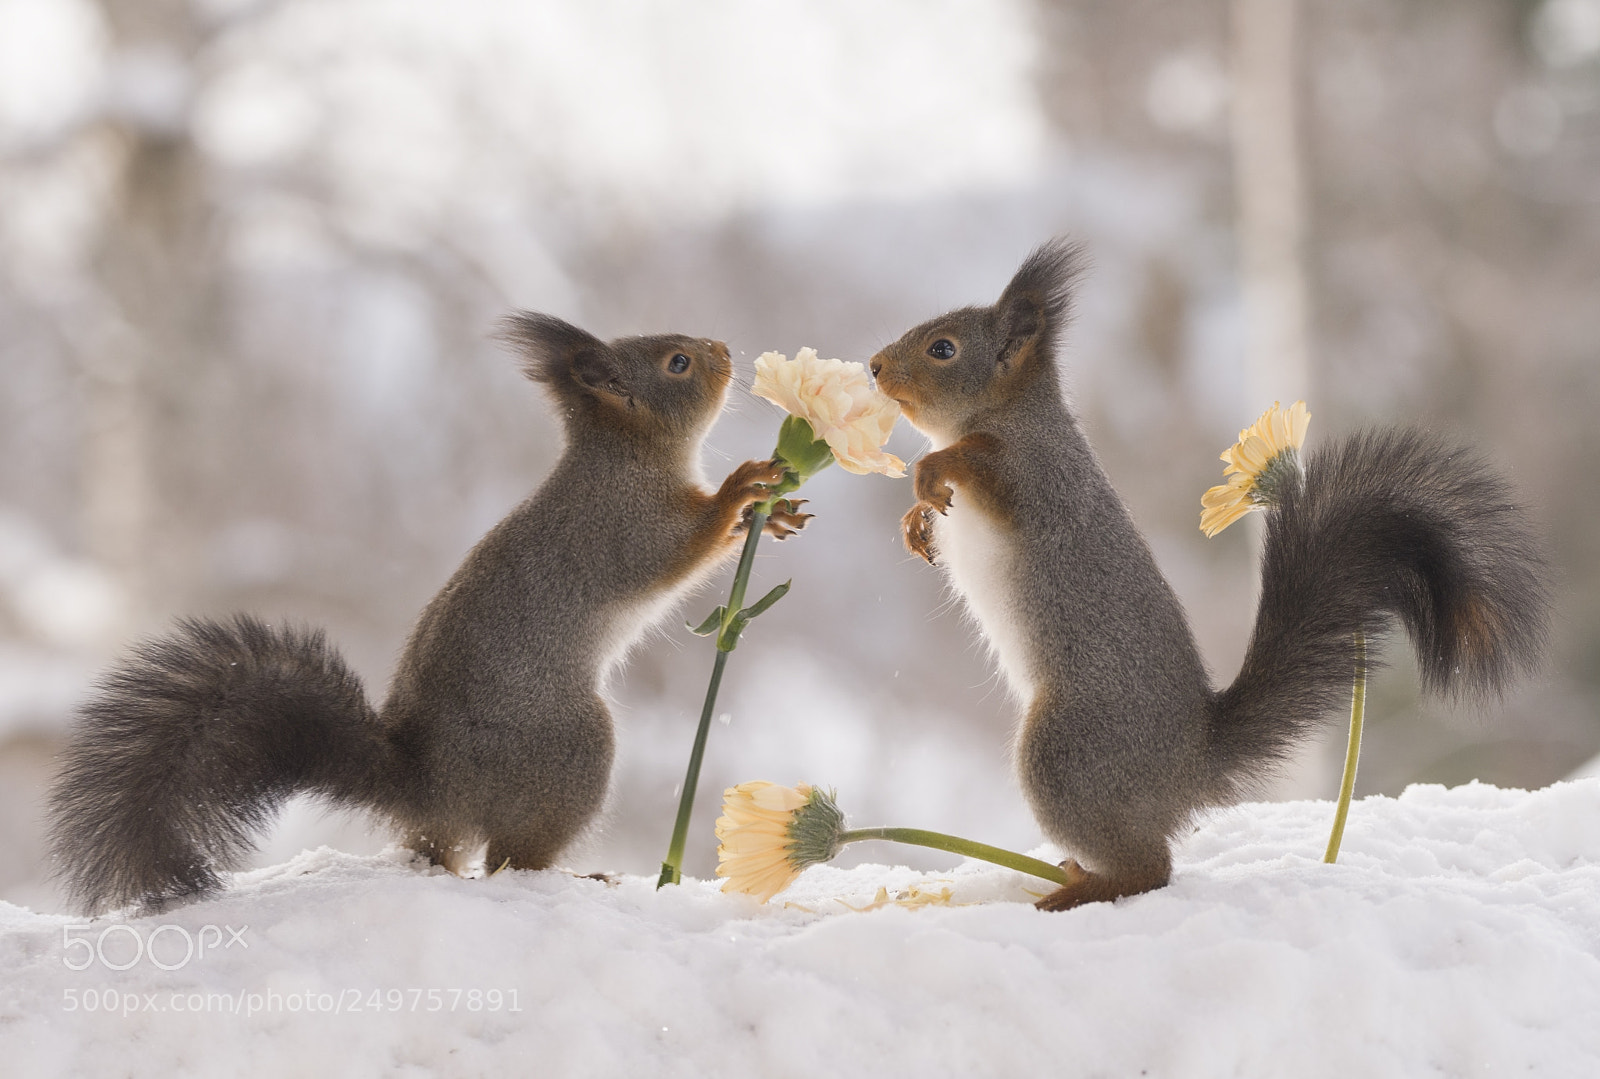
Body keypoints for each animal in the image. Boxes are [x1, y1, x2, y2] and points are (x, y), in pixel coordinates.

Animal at [47, 313, 811, 914]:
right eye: (676, 363)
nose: (723, 347)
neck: (627, 457)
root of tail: (427, 785)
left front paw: (776, 518)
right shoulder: (622, 528)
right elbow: (679, 552)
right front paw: (742, 489)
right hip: (572, 747)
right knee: (507, 860)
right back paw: (577, 876)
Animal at [869, 239, 1550, 911]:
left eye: (943, 349)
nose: (874, 366)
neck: (1007, 416)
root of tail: (1189, 764)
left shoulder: (1036, 479)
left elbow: (978, 468)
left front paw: (931, 471)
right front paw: (915, 523)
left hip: (1066, 755)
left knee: (1152, 869)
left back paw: (1081, 889)